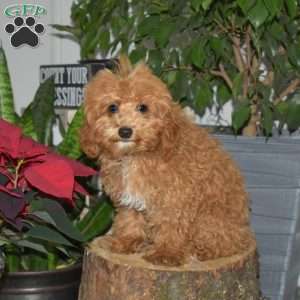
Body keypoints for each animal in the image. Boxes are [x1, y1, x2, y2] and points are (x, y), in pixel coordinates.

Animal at [80, 57, 255, 266]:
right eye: (112, 107)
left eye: (143, 107)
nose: (125, 131)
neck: (137, 155)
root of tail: (244, 232)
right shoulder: (128, 197)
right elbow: (130, 218)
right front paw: (126, 242)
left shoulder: (175, 197)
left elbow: (171, 225)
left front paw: (166, 253)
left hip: (210, 220)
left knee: (221, 244)